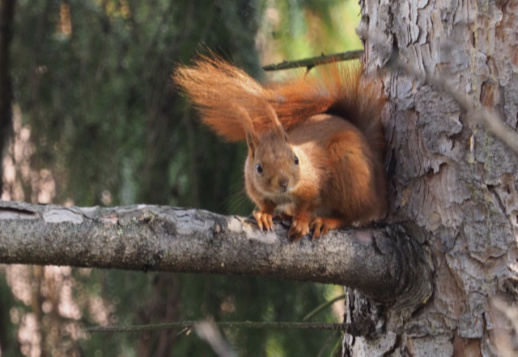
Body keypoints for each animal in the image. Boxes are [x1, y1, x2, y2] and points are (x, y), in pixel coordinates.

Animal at [173, 55, 388, 239]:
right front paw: (265, 214)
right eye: (258, 168)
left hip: (351, 175)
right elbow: (266, 204)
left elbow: (309, 204)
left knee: (353, 213)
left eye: (296, 159)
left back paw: (326, 221)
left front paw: (301, 221)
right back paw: (286, 215)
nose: (283, 182)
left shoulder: (315, 181)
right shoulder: (256, 188)